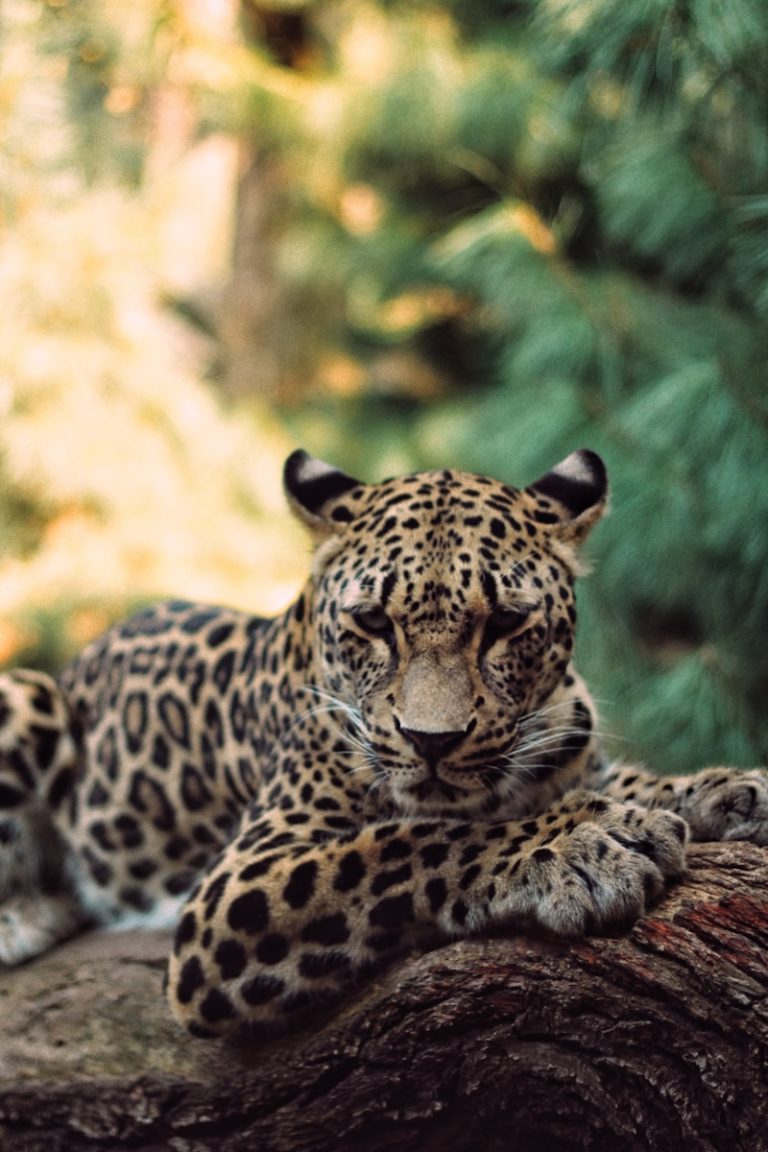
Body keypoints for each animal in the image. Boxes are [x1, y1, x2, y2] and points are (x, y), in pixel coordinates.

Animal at [1, 444, 768, 1041]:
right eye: (372, 621)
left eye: (506, 623)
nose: (432, 741)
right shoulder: (236, 886)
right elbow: (405, 842)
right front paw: (574, 848)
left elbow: (630, 780)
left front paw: (730, 790)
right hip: (28, 696)